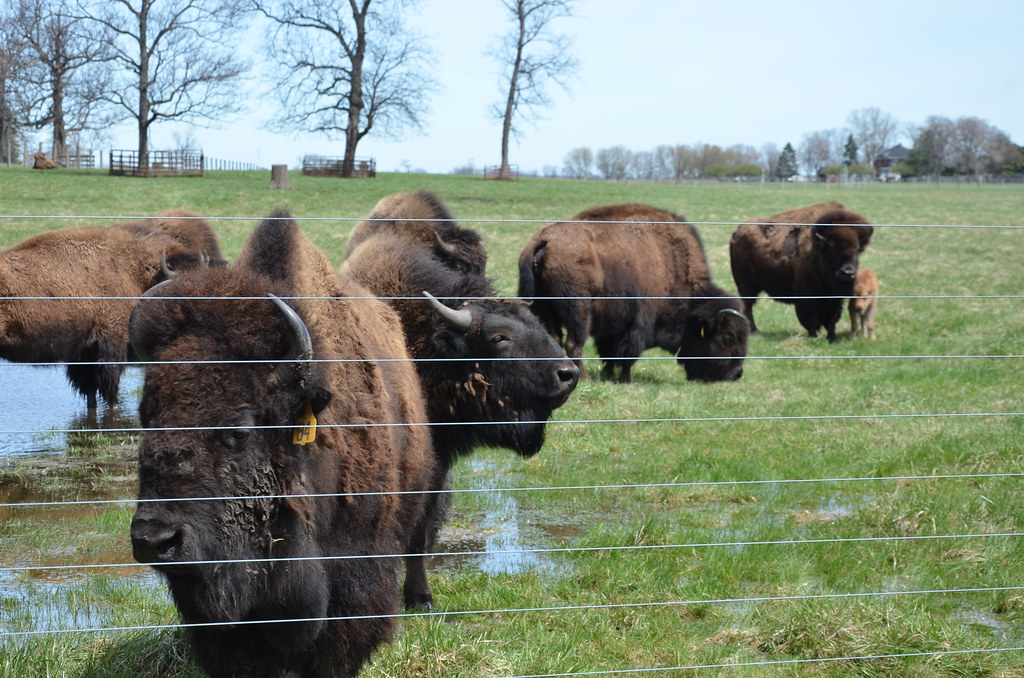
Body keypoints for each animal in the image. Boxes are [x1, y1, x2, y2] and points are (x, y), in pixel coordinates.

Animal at [0, 211, 223, 409]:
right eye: (182, 296)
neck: (132, 268)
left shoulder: (85, 351)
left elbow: (91, 392)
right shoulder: (111, 344)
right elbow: (110, 389)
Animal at [517, 203, 749, 384]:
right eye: (727, 337)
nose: (736, 374)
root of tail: (545, 240)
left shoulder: (613, 326)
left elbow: (609, 351)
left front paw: (608, 375)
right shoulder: (639, 323)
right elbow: (628, 353)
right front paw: (625, 380)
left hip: (543, 308)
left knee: (555, 338)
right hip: (579, 312)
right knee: (574, 343)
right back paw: (584, 378)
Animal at [729, 201, 873, 342]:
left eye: (857, 248)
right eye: (832, 246)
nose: (847, 273)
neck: (818, 249)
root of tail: (737, 233)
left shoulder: (834, 299)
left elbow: (831, 320)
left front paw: (831, 338)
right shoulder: (806, 296)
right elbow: (810, 319)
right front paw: (813, 336)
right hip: (746, 284)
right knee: (748, 306)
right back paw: (753, 331)